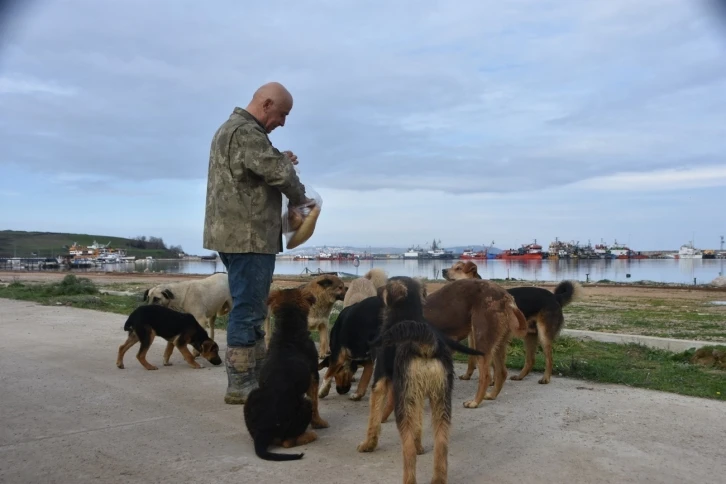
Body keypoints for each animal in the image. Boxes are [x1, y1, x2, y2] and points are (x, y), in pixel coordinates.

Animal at [246, 288, 332, 462]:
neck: (288, 328)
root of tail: (263, 429)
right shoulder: (314, 375)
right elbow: (316, 402)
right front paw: (319, 423)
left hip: (252, 395)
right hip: (303, 406)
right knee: (287, 442)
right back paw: (310, 435)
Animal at [358, 276, 484, 484]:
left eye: (387, 283)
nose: (378, 288)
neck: (407, 313)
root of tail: (426, 343)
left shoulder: (380, 382)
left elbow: (374, 419)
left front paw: (368, 444)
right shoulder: (415, 394)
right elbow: (418, 423)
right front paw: (420, 447)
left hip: (405, 403)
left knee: (407, 451)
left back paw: (409, 479)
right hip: (440, 400)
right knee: (442, 445)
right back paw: (438, 479)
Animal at [424, 278, 528, 406]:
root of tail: (506, 297)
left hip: (481, 340)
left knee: (486, 376)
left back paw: (475, 402)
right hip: (498, 344)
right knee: (502, 372)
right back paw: (492, 395)